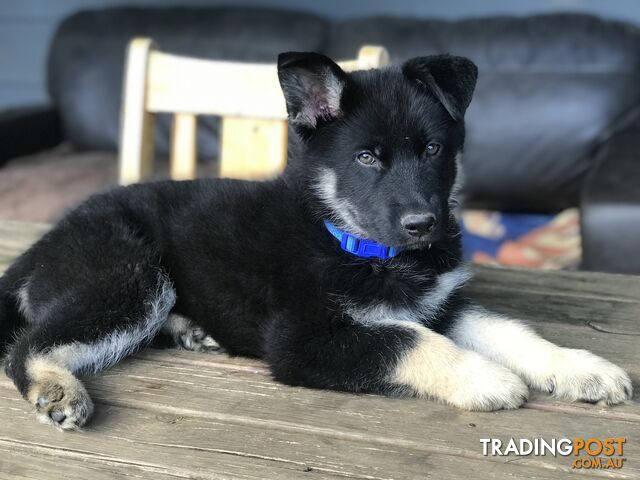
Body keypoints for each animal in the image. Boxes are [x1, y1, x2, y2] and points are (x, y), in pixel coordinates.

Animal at [0, 50, 632, 430]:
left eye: (432, 149)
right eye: (367, 158)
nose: (424, 225)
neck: (353, 242)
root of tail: (47, 241)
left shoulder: (440, 304)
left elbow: (510, 330)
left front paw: (580, 368)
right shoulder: (303, 340)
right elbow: (407, 341)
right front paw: (485, 377)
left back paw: (190, 330)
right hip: (130, 275)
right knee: (26, 345)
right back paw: (57, 386)